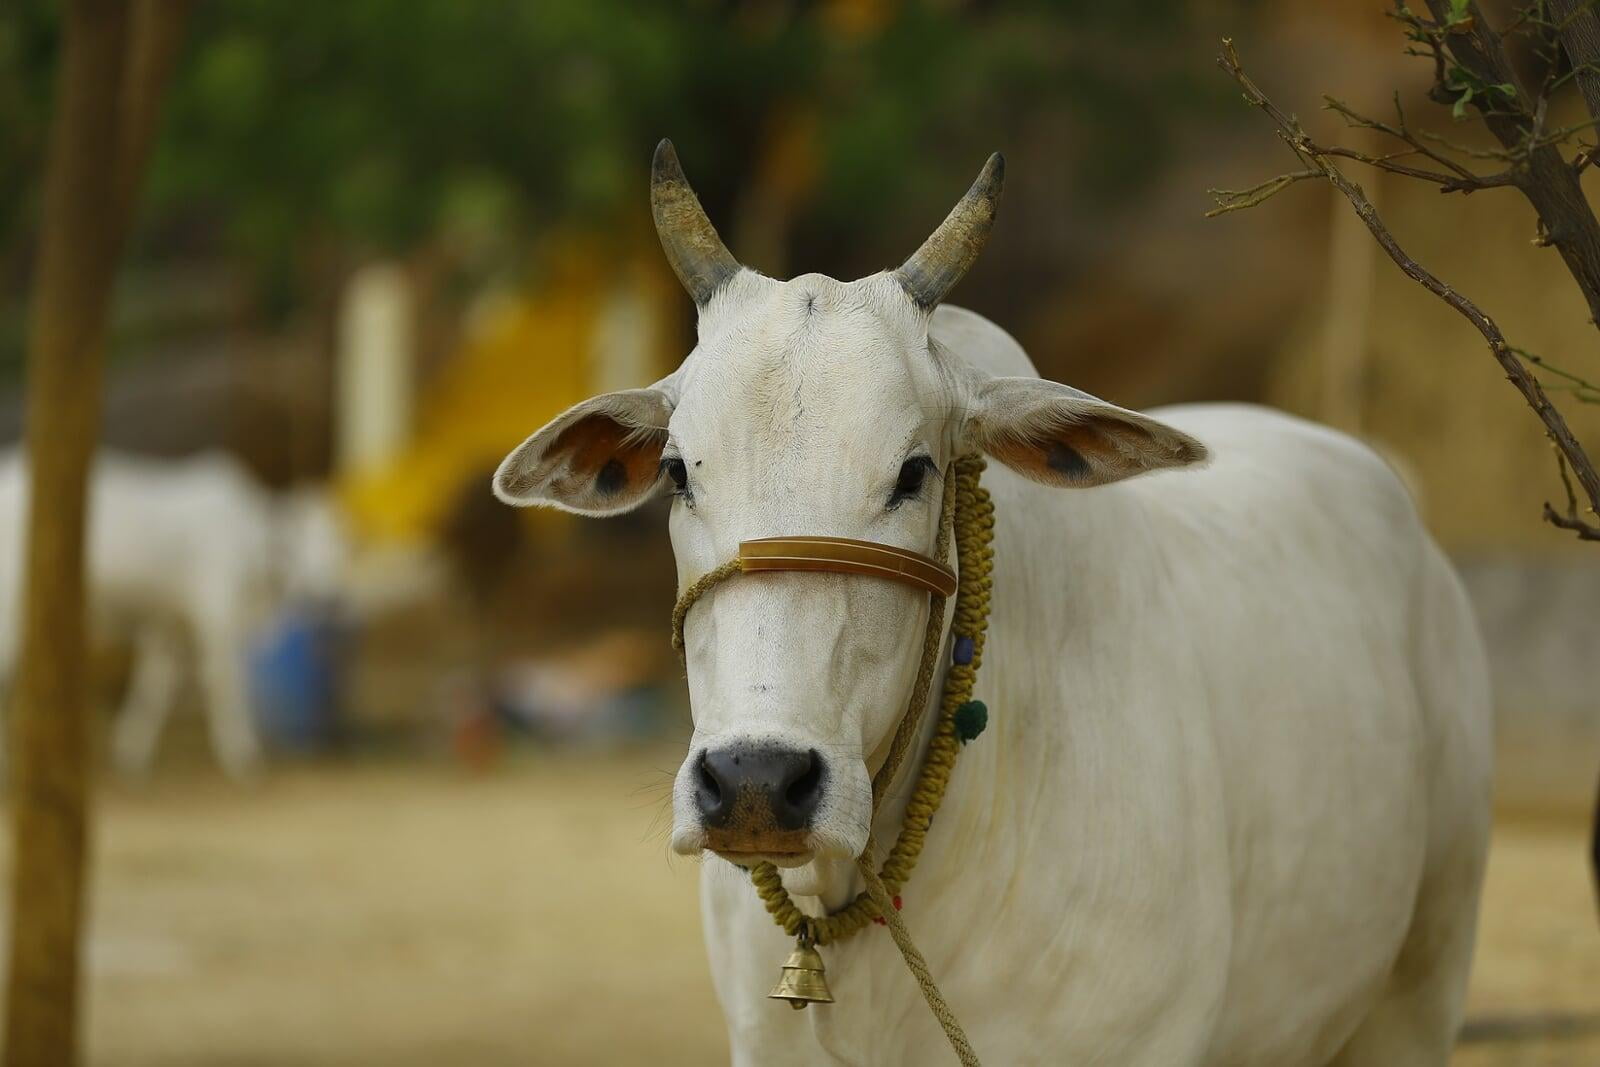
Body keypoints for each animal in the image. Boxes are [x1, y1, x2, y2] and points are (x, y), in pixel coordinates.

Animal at [0, 447, 347, 780]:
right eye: (297, 544)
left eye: (340, 545)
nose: (329, 596)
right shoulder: (216, 618)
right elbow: (225, 684)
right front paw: (242, 755)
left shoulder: (169, 624)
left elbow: (155, 686)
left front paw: (131, 752)